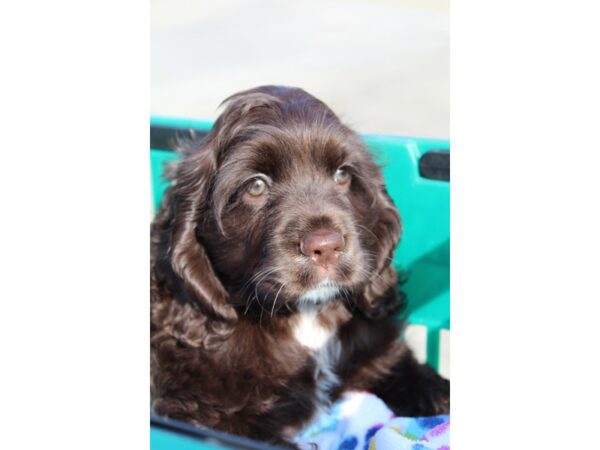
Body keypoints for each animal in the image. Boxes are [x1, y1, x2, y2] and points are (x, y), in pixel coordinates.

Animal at [150, 86, 450, 444]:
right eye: (256, 186)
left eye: (343, 175)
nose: (327, 246)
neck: (305, 313)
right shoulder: (198, 412)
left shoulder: (381, 355)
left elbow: (418, 377)